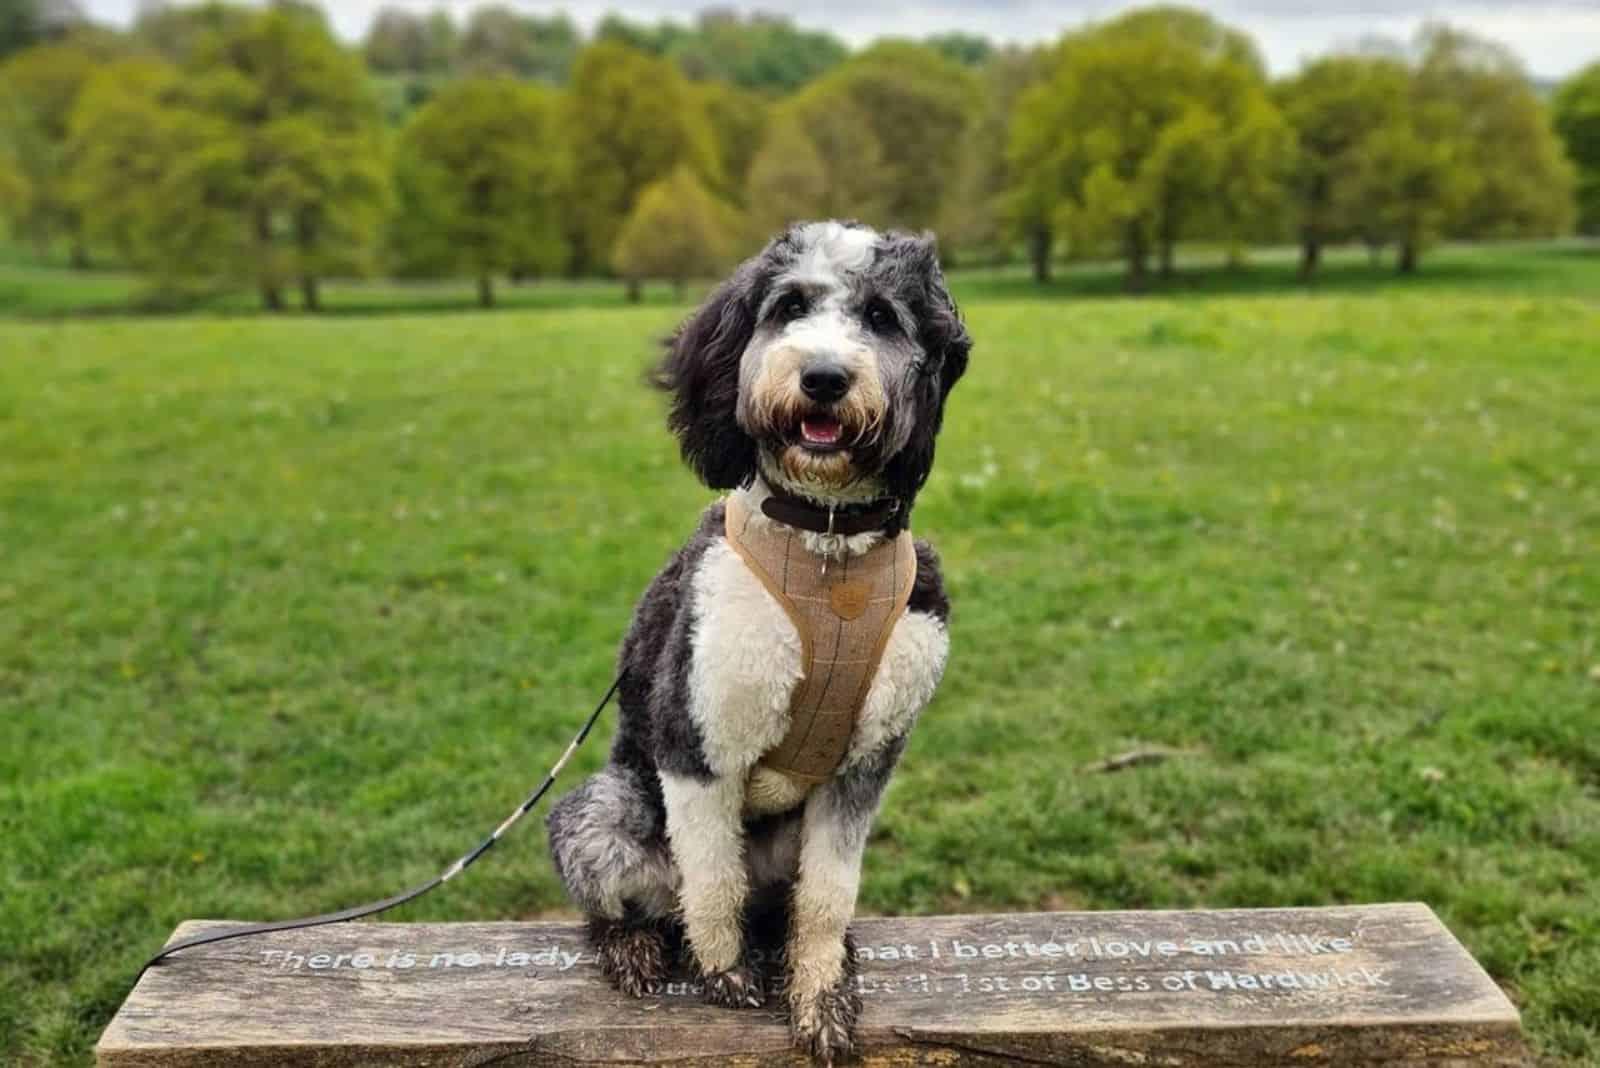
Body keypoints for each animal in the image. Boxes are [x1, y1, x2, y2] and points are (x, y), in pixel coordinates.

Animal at [544, 219, 966, 1061]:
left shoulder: (864, 767)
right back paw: (635, 947)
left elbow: (829, 896)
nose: (824, 378)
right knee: (631, 901)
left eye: (881, 317)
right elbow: (712, 877)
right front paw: (723, 973)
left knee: (783, 904)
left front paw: (820, 993)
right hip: (604, 811)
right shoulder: (697, 740)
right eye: (789, 307)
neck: (827, 546)